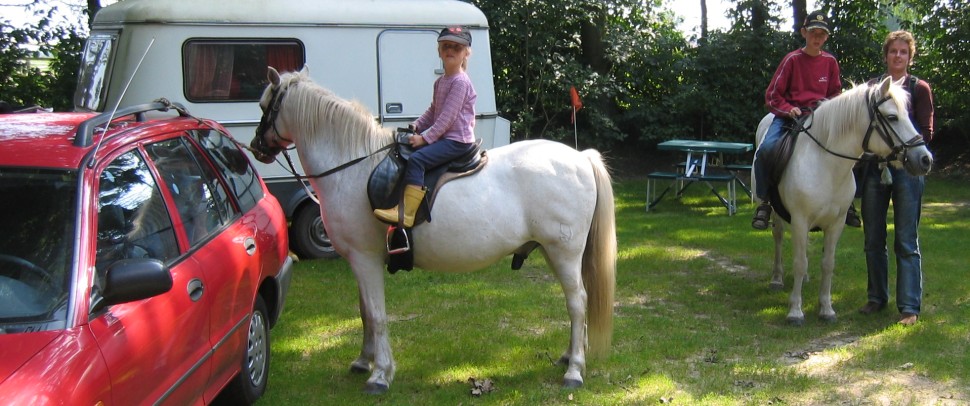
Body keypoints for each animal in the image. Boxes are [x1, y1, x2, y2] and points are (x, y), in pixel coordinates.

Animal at [250, 67, 616, 393]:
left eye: (266, 105)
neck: (353, 166)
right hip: (556, 253)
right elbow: (365, 313)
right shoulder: (358, 261)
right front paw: (364, 361)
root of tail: (581, 158)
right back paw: (570, 356)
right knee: (576, 302)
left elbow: (378, 315)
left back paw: (574, 371)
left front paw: (380, 374)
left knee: (578, 302)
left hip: (563, 252)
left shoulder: (366, 258)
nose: (256, 147)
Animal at [751, 77, 933, 325]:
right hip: (778, 213)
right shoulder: (800, 220)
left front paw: (826, 309)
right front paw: (795, 311)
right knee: (778, 237)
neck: (826, 164)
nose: (925, 159)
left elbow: (828, 264)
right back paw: (777, 279)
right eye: (892, 117)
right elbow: (799, 263)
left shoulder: (835, 224)